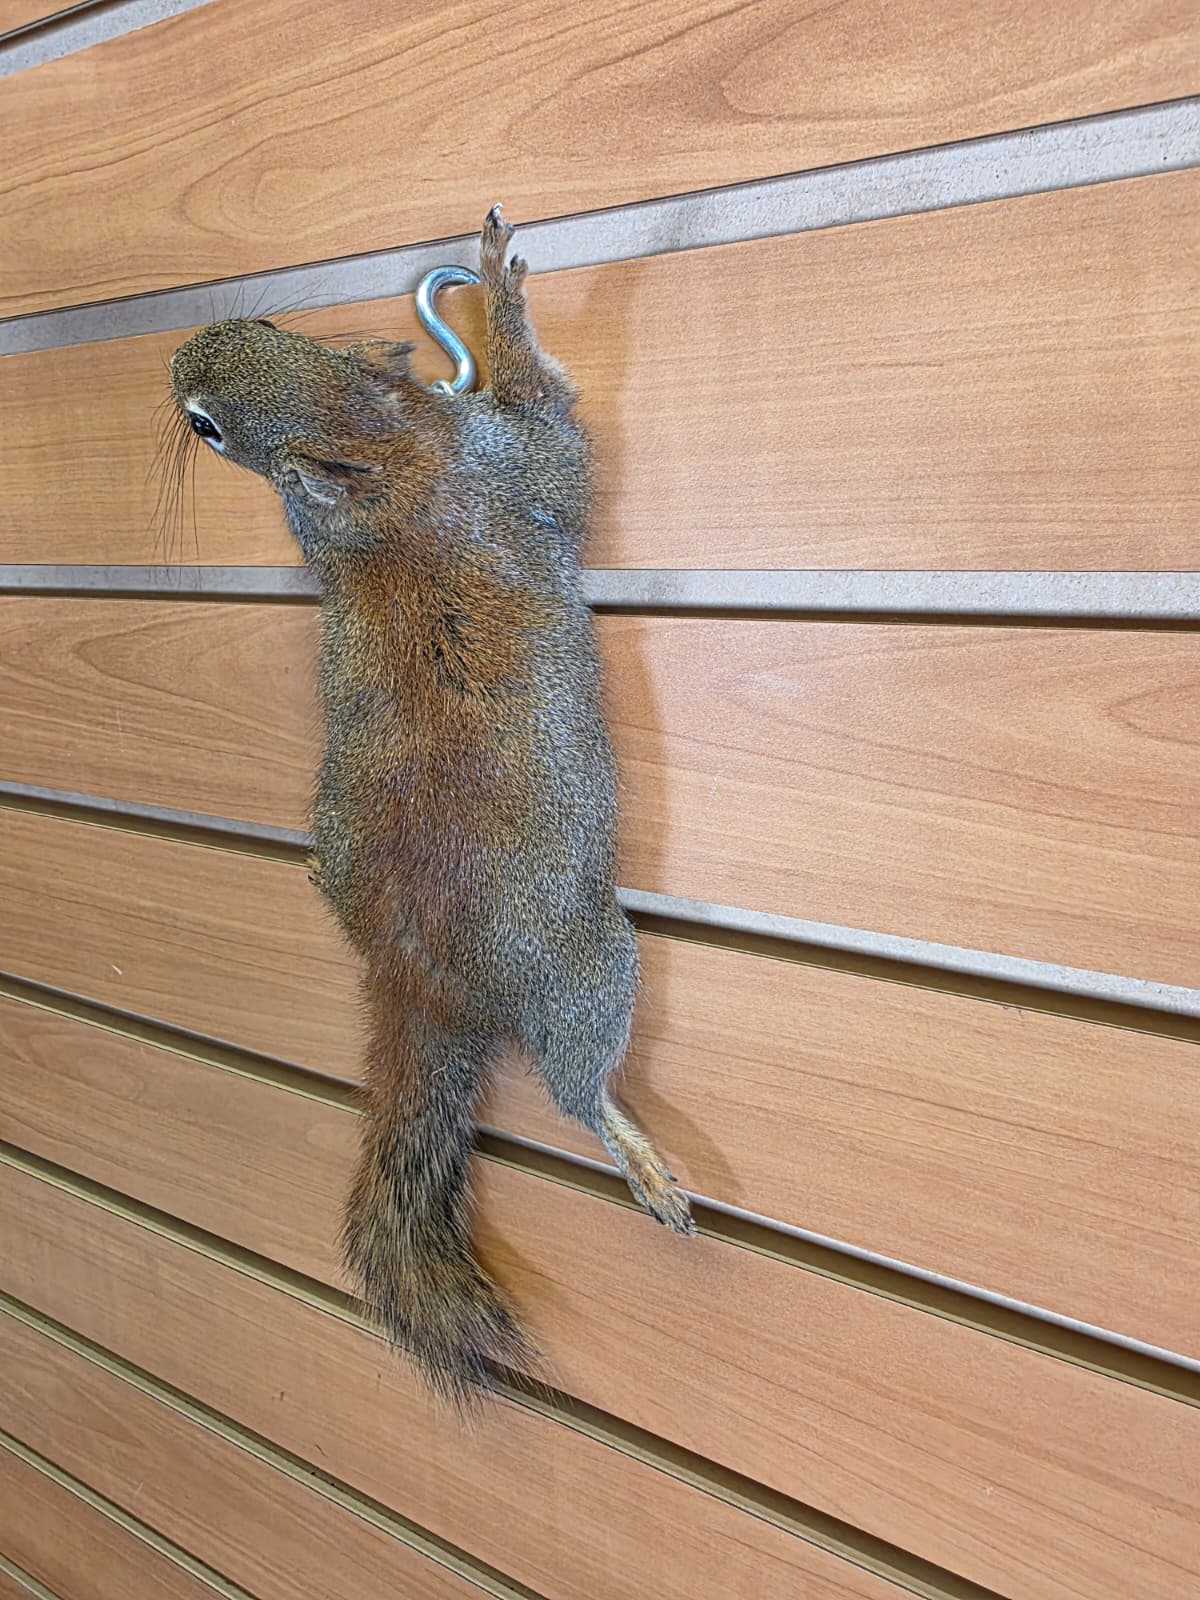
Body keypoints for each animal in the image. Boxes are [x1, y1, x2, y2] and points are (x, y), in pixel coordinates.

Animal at [169, 206, 694, 1406]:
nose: (178, 360)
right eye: (205, 429)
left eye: (273, 328)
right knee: (573, 1076)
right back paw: (633, 1150)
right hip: (587, 964)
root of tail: (417, 977)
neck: (383, 468)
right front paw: (499, 303)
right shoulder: (501, 465)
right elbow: (557, 446)